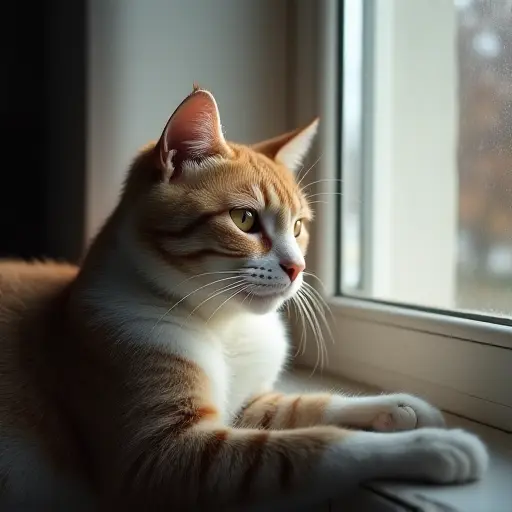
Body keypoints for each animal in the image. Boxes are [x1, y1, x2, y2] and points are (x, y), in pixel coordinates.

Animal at [0, 86, 488, 510]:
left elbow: (311, 405)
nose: (297, 268)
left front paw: (401, 406)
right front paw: (431, 447)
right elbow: (313, 445)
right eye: (245, 219)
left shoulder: (248, 405)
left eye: (298, 226)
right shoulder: (160, 456)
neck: (226, 327)